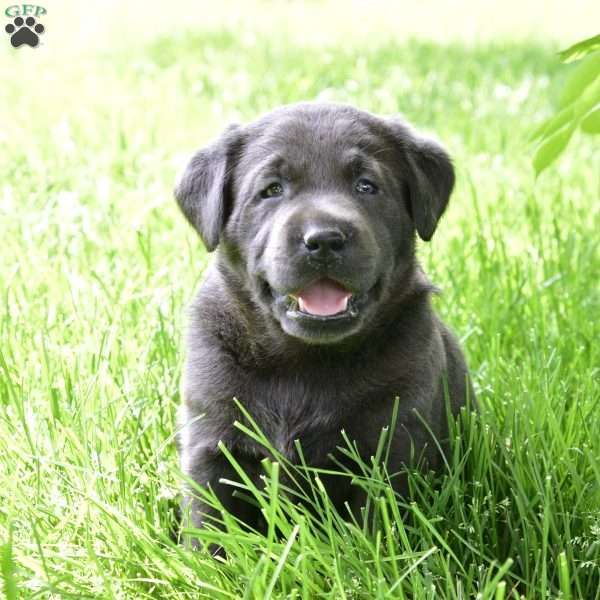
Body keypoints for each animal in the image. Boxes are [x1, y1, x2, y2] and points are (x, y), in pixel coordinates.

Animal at [173, 101, 474, 540]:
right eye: (272, 189)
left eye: (366, 186)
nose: (324, 239)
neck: (302, 359)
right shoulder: (212, 441)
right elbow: (212, 525)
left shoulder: (391, 443)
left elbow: (377, 526)